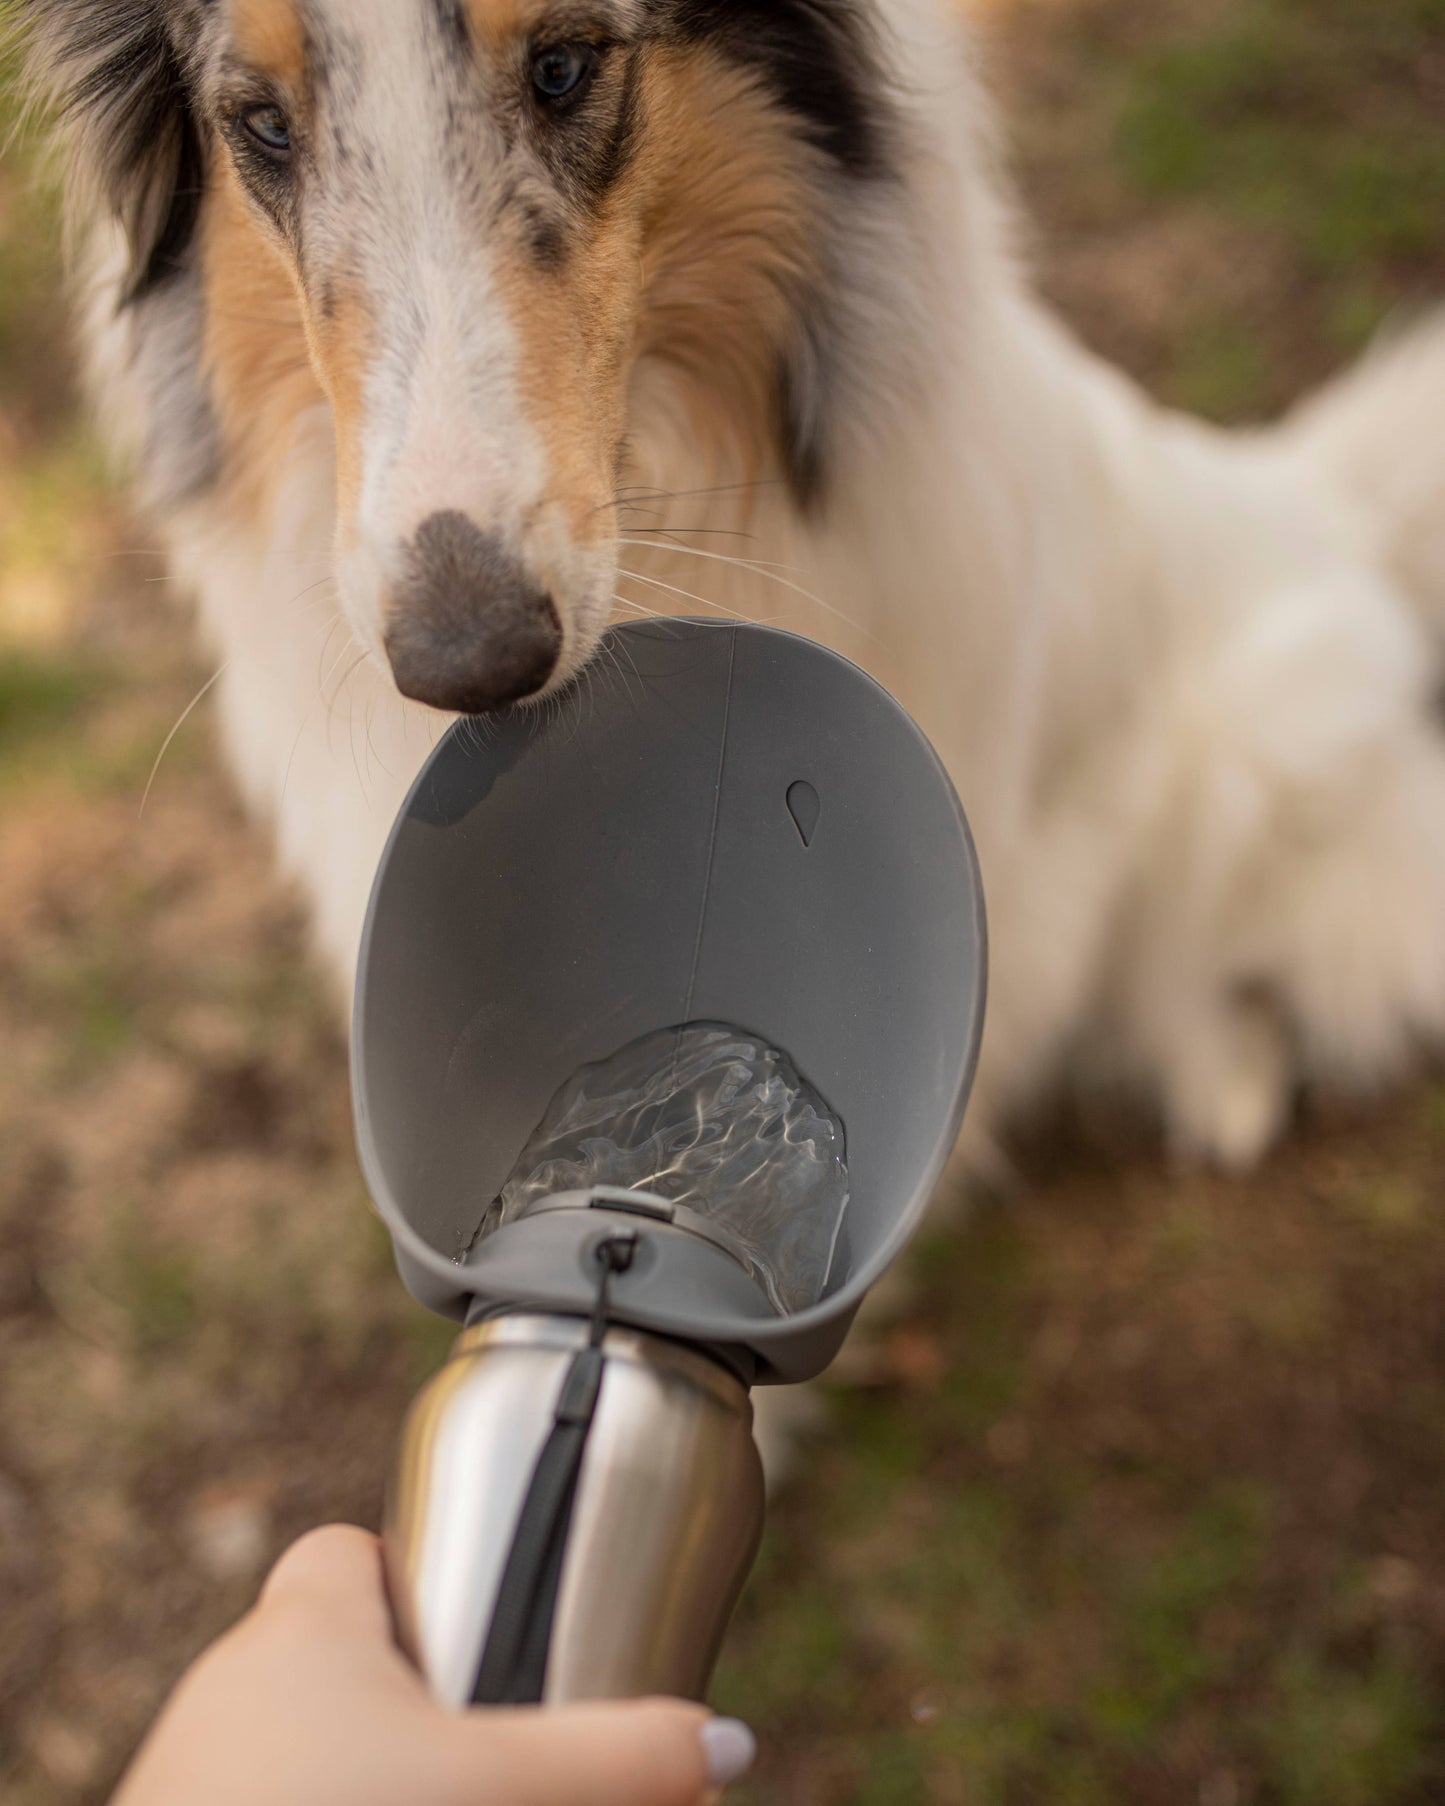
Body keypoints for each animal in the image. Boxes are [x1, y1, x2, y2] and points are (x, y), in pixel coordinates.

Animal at [19, 0, 1445, 1170]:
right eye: (261, 123)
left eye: (561, 66)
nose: (466, 664)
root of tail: (1294, 498)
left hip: (1263, 760)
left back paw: (1226, 1081)